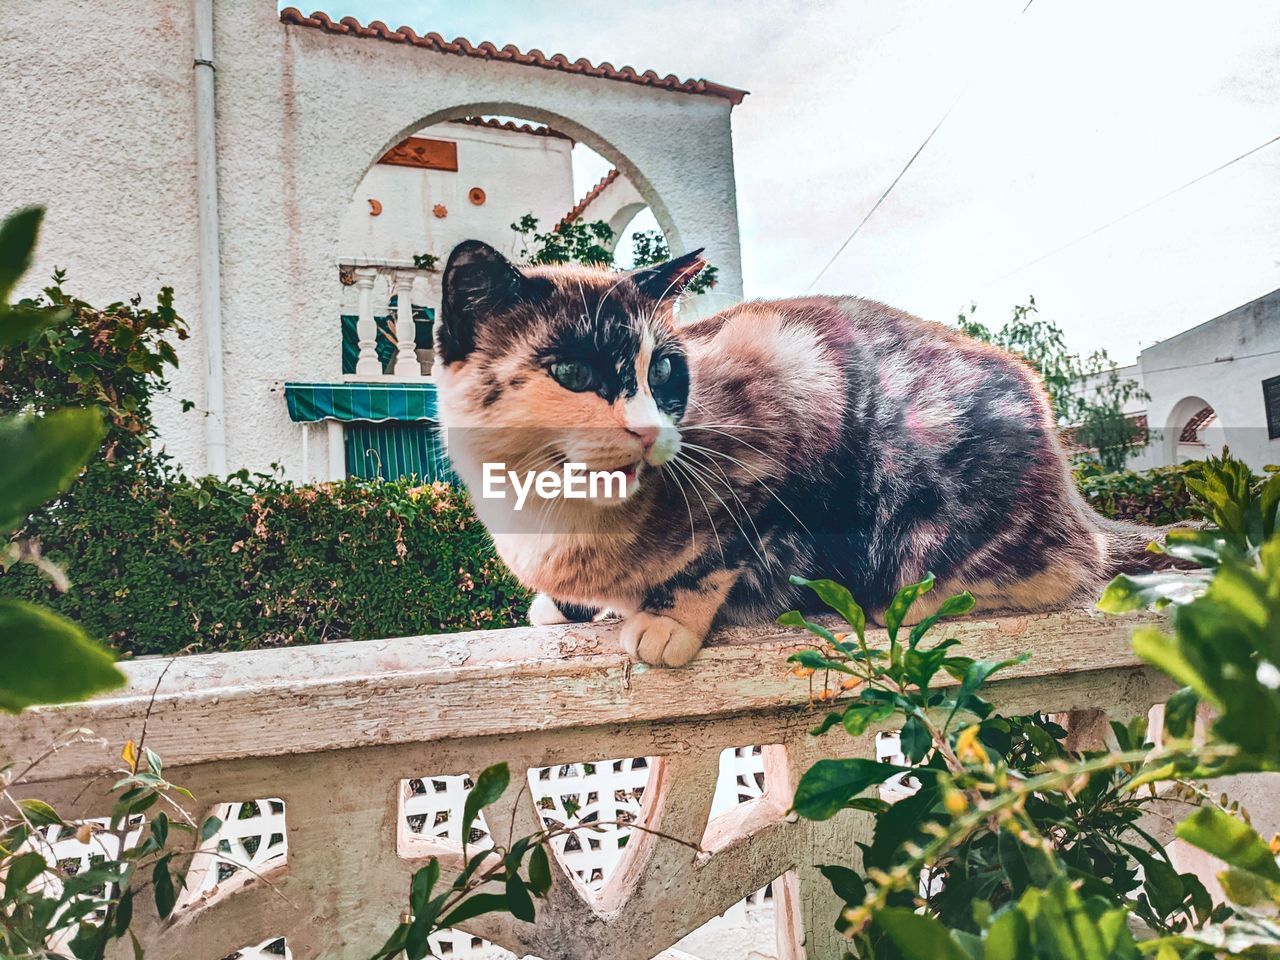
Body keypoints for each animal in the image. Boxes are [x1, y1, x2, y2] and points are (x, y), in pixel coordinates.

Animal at [432, 240, 1172, 670]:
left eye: (665, 369)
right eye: (573, 373)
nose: (647, 430)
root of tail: (1078, 502)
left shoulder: (784, 398)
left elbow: (720, 553)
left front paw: (663, 620)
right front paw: (569, 606)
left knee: (1052, 572)